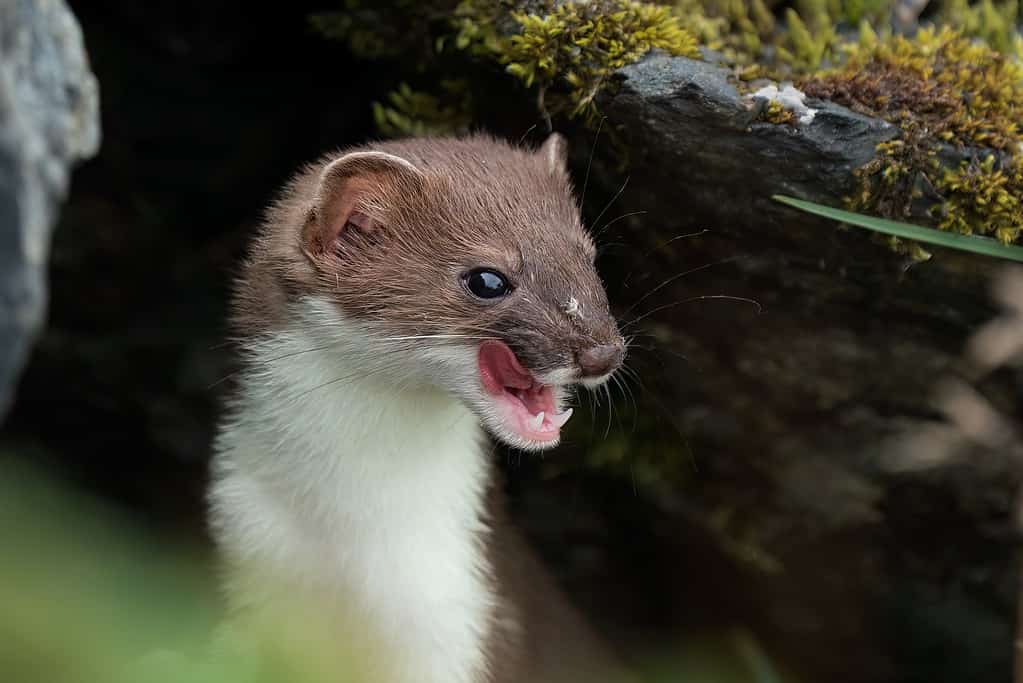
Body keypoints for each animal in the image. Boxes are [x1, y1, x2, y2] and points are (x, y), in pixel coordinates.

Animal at [210, 132, 630, 683]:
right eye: (488, 279)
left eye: (589, 257)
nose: (604, 353)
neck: (349, 531)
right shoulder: (251, 545)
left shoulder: (457, 607)